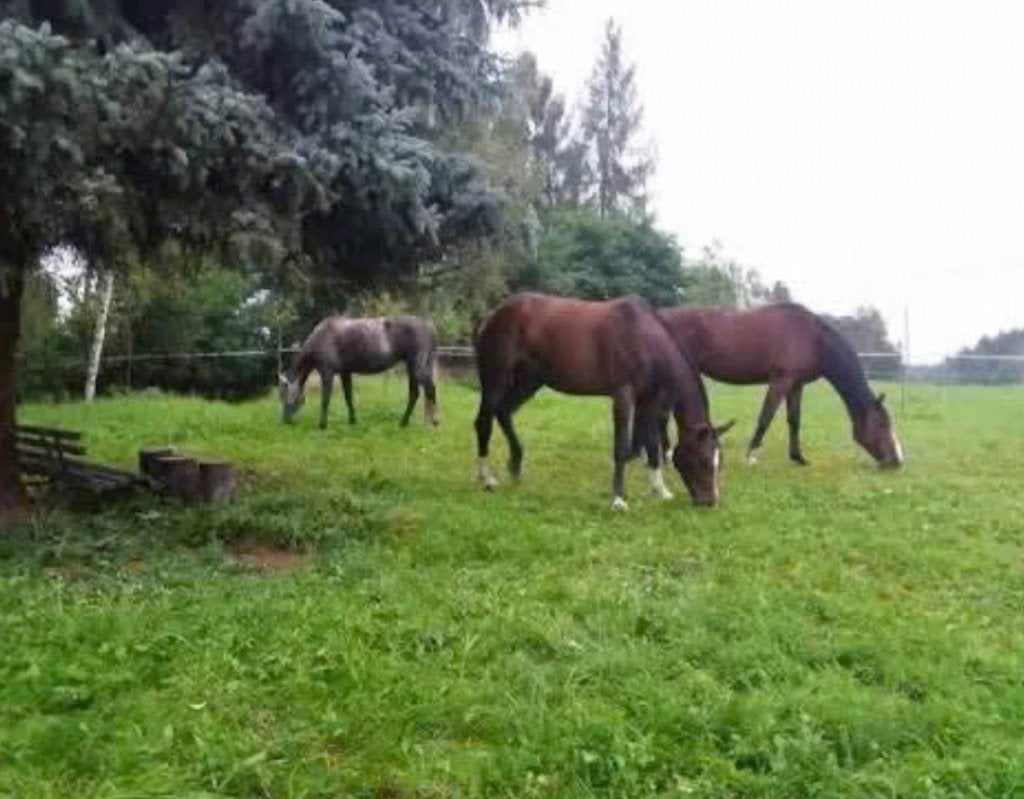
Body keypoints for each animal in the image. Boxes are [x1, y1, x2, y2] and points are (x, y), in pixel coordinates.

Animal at [279, 315, 439, 429]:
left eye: (284, 395)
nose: (286, 420)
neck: (322, 336)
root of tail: (429, 327)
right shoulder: (345, 372)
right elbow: (348, 396)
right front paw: (352, 420)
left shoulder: (327, 373)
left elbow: (325, 399)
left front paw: (322, 425)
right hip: (412, 367)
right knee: (415, 394)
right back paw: (404, 423)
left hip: (417, 367)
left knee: (430, 389)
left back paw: (434, 422)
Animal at [473, 292, 735, 510]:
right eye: (702, 460)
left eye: (719, 462)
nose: (709, 502)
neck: (644, 339)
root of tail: (492, 315)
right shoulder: (623, 396)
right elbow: (621, 447)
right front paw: (618, 500)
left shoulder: (649, 401)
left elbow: (652, 445)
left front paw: (661, 491)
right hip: (495, 377)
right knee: (484, 421)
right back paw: (487, 479)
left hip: (530, 380)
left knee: (504, 412)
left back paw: (515, 466)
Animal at [655, 303, 903, 468]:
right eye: (883, 424)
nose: (896, 461)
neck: (812, 339)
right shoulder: (781, 381)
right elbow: (766, 417)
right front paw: (751, 456)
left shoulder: (796, 384)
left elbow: (794, 420)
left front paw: (798, 458)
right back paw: (666, 457)